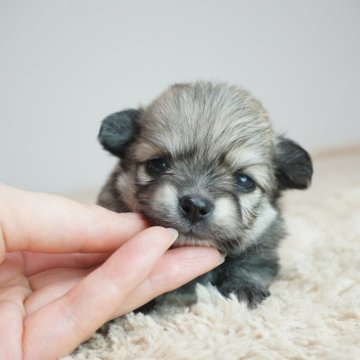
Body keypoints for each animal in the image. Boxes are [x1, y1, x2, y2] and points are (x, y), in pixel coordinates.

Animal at [96, 82, 312, 310]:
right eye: (157, 164)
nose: (195, 206)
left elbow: (250, 264)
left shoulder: (263, 246)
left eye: (245, 181)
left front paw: (245, 288)